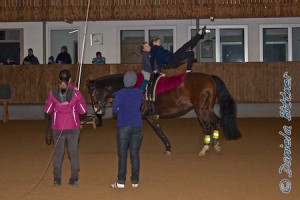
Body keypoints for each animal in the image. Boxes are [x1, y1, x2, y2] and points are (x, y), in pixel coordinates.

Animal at [86, 72, 241, 156]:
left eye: (93, 93)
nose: (97, 110)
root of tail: (209, 77)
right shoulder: (151, 115)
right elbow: (159, 129)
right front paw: (168, 147)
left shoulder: (144, 115)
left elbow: (156, 130)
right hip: (207, 108)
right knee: (217, 121)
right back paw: (216, 145)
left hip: (201, 109)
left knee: (207, 125)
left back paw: (205, 148)